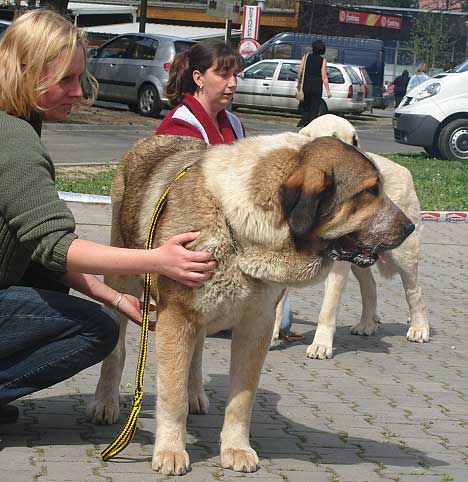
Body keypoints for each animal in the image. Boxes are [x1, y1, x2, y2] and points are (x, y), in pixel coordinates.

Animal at [272, 114, 430, 358]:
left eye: (355, 140)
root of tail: (404, 169)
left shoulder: (337, 267)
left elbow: (327, 309)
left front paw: (321, 345)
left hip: (404, 254)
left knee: (414, 292)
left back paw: (419, 328)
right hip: (360, 256)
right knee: (370, 286)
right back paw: (367, 324)